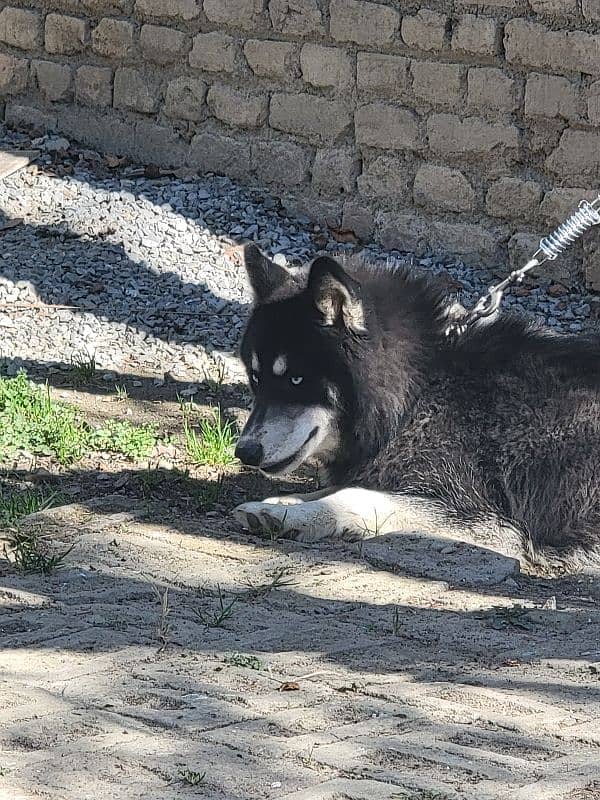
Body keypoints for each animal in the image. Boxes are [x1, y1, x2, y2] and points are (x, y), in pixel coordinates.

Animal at [232, 247, 596, 564]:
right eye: (256, 378)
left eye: (296, 380)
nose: (244, 452)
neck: (419, 392)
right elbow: (343, 487)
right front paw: (285, 501)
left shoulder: (487, 519)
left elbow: (356, 495)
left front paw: (286, 513)